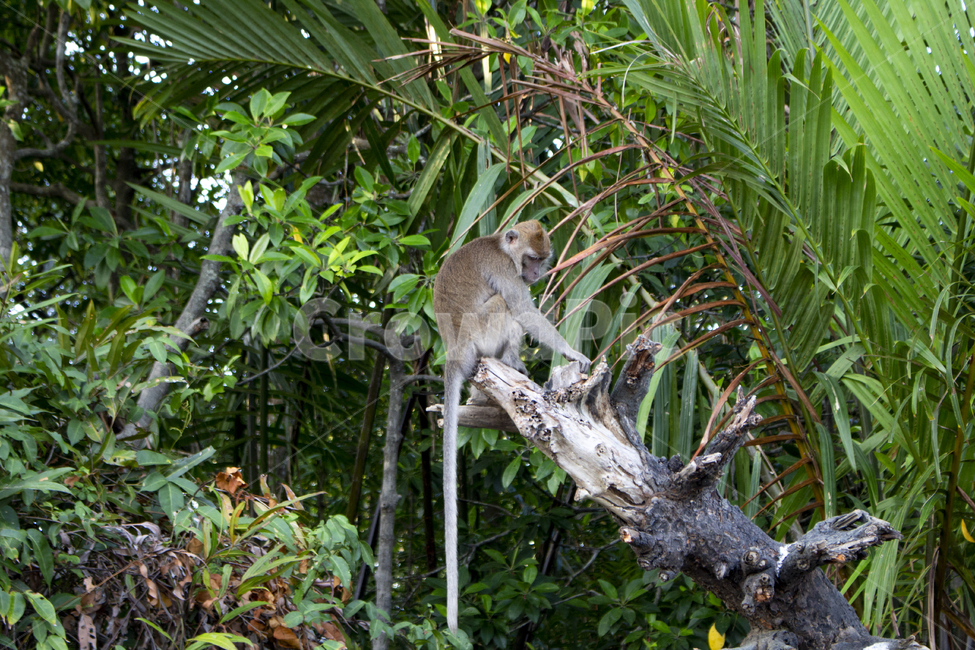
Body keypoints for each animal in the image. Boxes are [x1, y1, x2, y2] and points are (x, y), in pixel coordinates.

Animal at [433, 220, 591, 633]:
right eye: (531, 259)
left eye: (542, 260)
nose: (535, 274)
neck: (501, 246)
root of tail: (453, 353)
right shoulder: (504, 269)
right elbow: (522, 308)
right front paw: (571, 351)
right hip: (481, 333)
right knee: (503, 307)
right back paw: (509, 364)